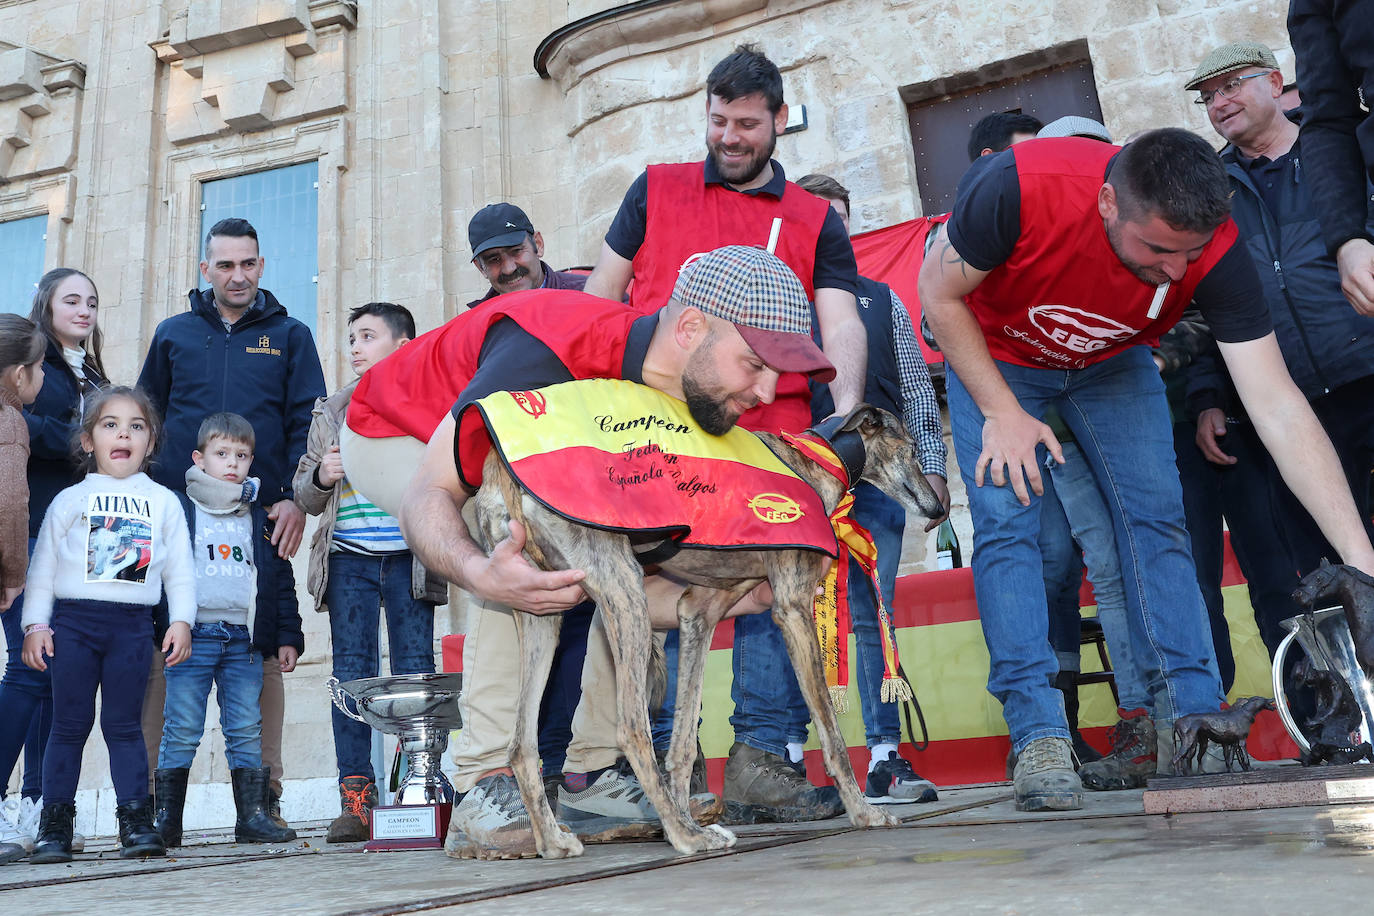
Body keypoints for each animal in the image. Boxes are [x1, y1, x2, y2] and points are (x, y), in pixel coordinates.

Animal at [472, 403, 945, 856]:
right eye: (912, 449)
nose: (938, 509)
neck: (815, 460)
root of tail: (500, 470)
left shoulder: (699, 610)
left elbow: (682, 743)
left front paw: (684, 813)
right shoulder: (792, 607)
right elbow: (832, 734)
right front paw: (865, 813)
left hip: (542, 608)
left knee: (521, 743)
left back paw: (556, 840)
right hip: (625, 593)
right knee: (632, 730)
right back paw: (685, 837)